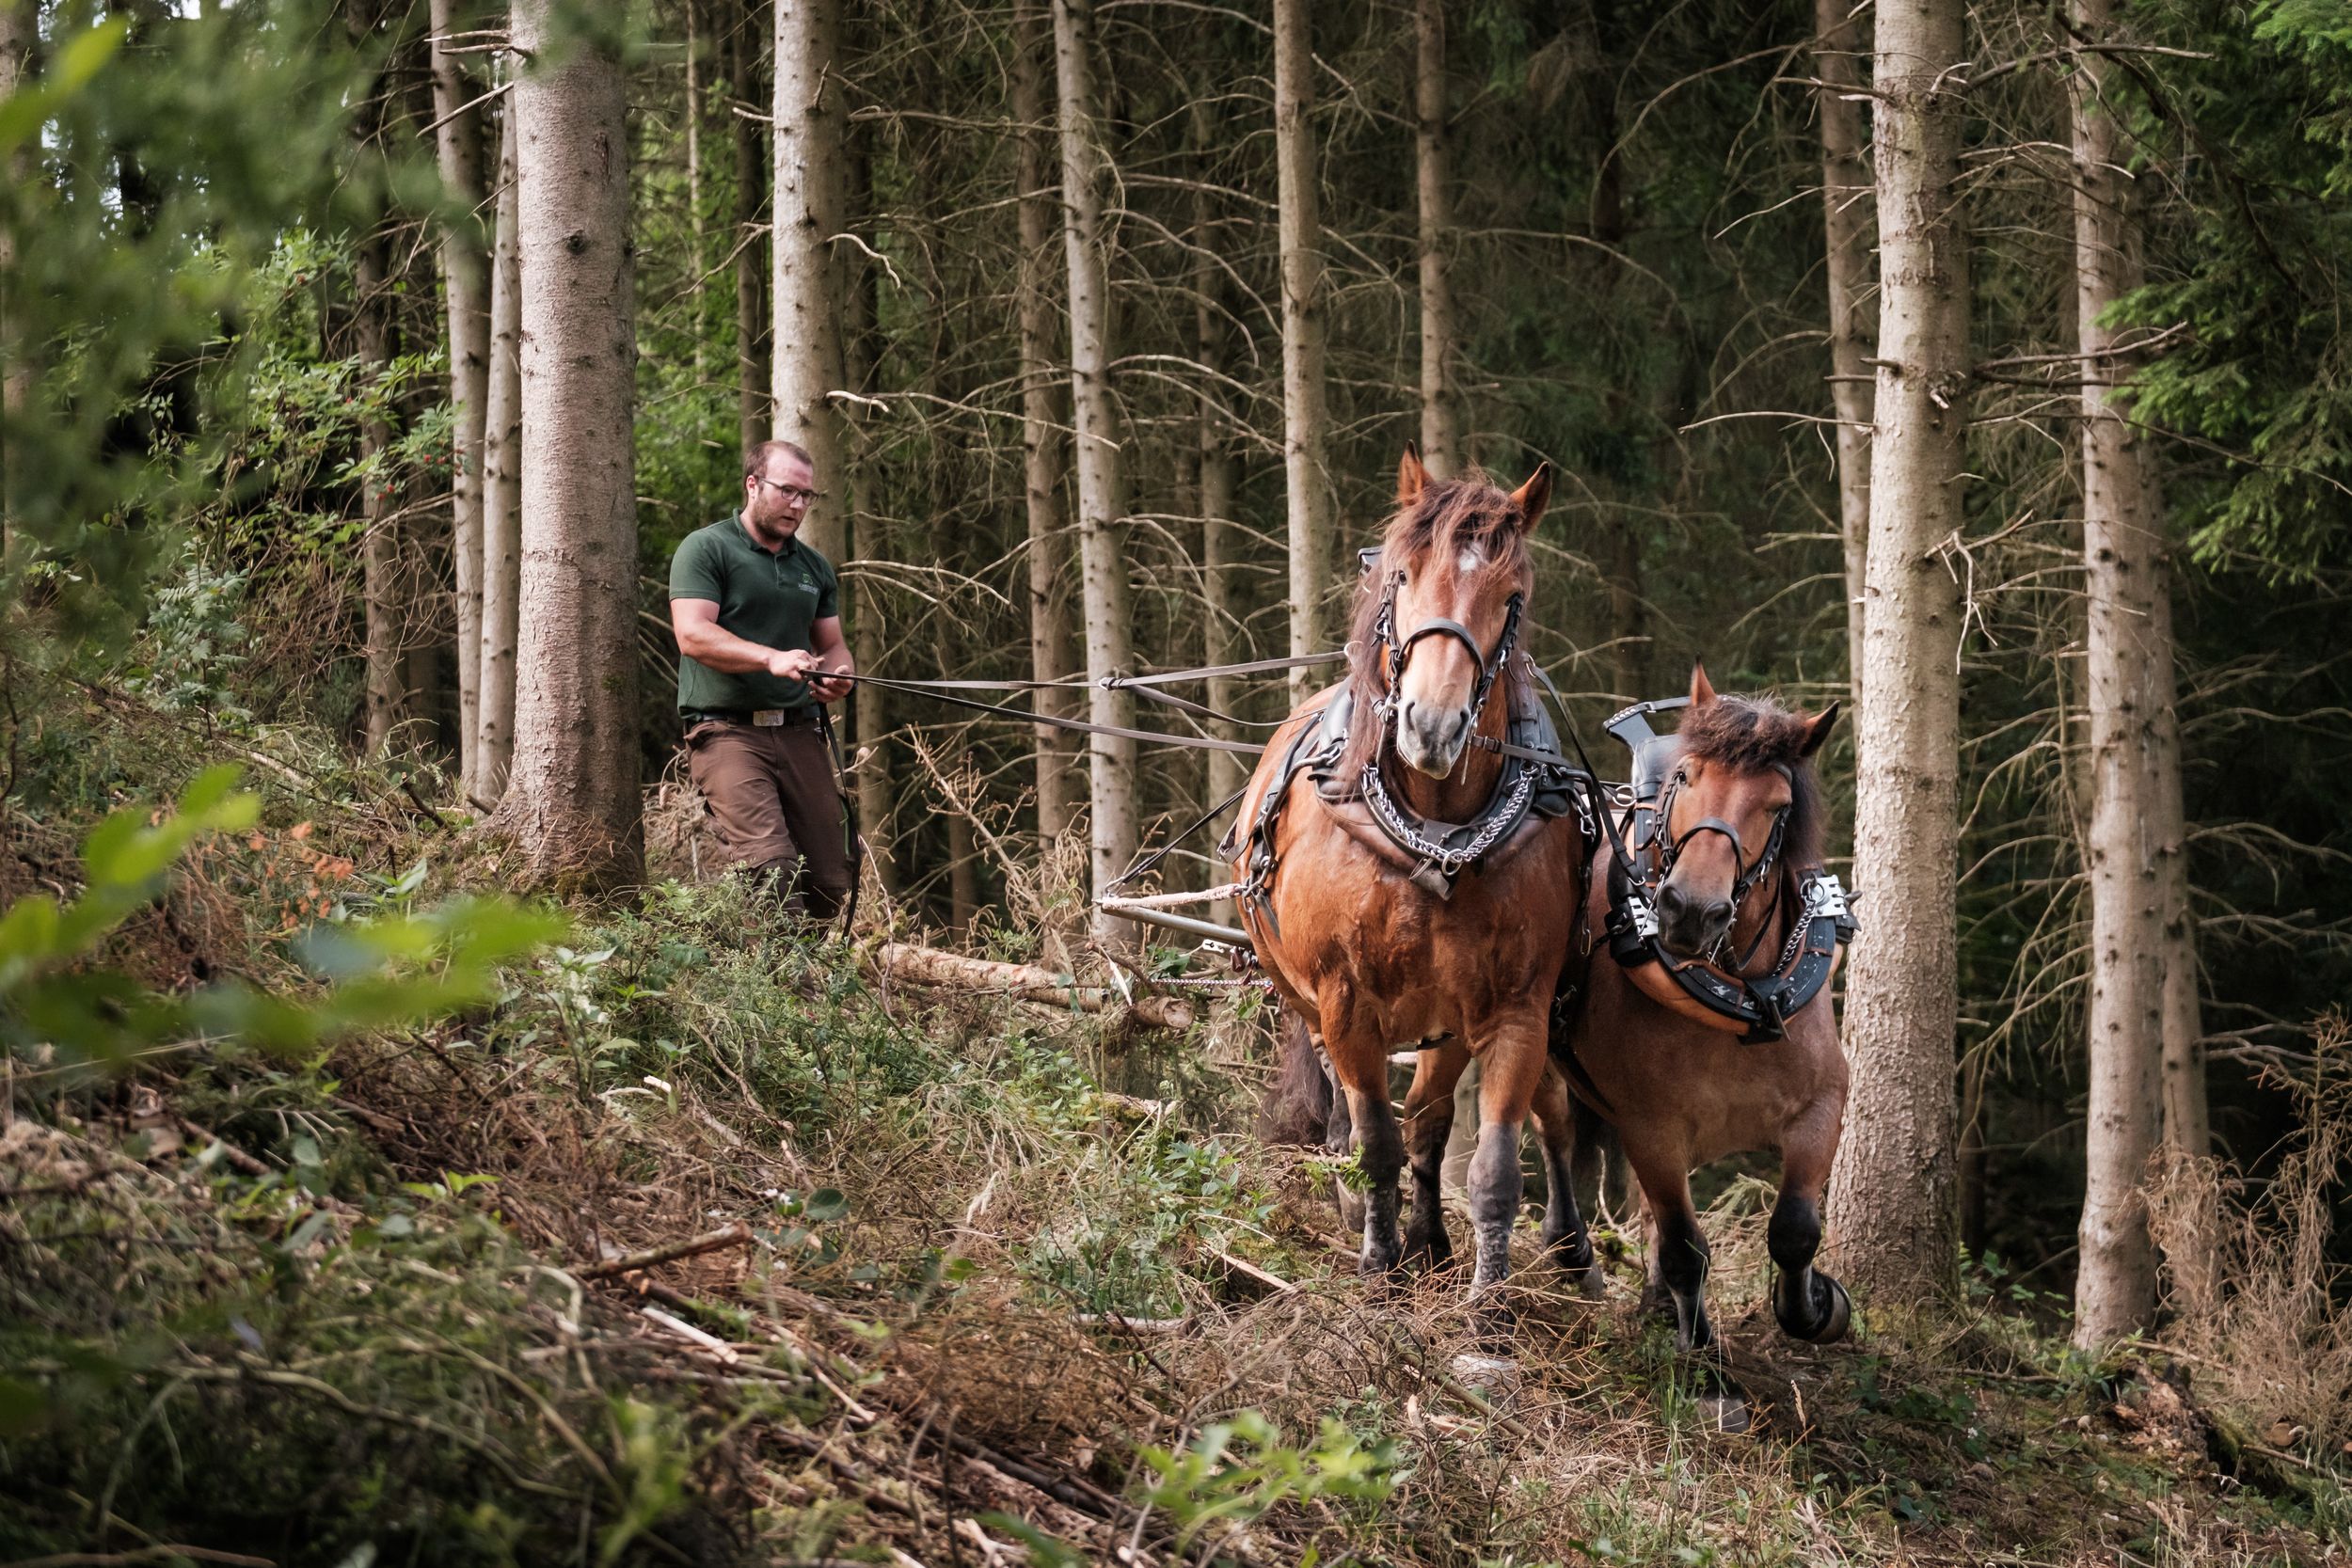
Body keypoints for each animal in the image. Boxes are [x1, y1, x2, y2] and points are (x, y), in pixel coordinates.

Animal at [1232, 446, 1599, 1297]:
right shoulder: (1344, 1001)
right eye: (1401, 575)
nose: (1430, 726)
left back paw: (1441, 1241)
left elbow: (1491, 1164)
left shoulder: (1513, 1009)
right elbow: (1376, 1140)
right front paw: (1378, 1261)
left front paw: (1487, 1298)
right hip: (1302, 993)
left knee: (1438, 1119)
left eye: (1513, 597)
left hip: (1451, 1020)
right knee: (1359, 1109)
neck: (1436, 835)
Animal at [1552, 667, 1863, 1382]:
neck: (1744, 995)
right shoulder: (1652, 1128)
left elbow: (1795, 1228)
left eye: (1777, 805)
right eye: (1687, 777)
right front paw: (1706, 1373)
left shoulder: (1822, 1104)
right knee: (1551, 1143)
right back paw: (1573, 1255)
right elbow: (1685, 1248)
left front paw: (1816, 1308)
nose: (1689, 911)